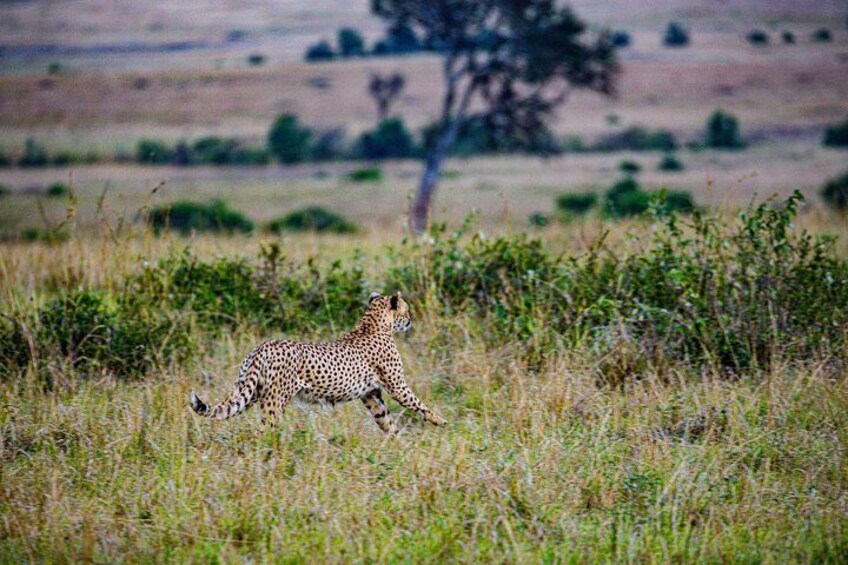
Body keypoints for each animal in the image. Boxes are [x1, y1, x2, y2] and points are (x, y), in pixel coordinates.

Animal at [189, 291, 446, 434]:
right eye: (407, 310)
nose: (411, 320)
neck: (373, 324)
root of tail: (263, 346)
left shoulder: (370, 394)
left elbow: (385, 420)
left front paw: (398, 443)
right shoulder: (397, 387)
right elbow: (418, 404)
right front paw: (440, 420)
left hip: (251, 393)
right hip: (274, 402)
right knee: (263, 432)